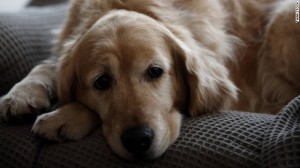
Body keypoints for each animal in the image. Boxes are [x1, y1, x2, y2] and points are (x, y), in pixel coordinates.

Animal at [0, 0, 300, 160]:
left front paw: (65, 116)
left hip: (282, 19)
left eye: (155, 71)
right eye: (101, 82)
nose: (138, 140)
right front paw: (22, 94)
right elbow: (46, 64)